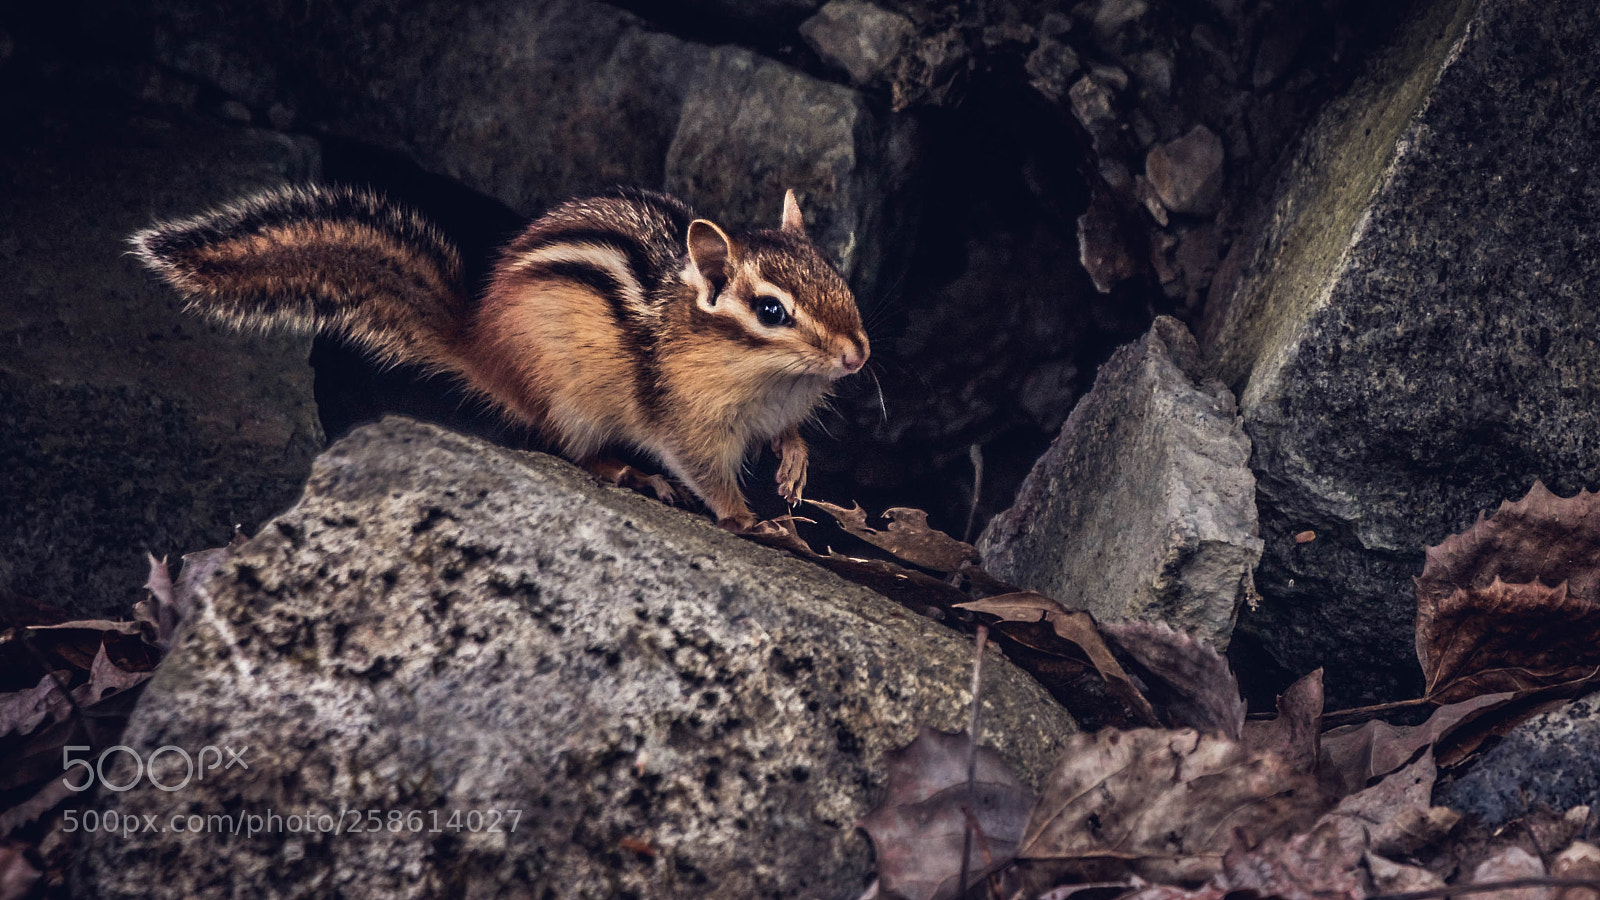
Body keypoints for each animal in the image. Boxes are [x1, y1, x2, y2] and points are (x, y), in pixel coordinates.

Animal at [131, 184, 869, 533]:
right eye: (770, 311)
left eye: (837, 277)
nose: (857, 355)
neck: (769, 380)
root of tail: (477, 338)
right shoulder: (686, 421)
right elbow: (703, 471)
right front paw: (745, 518)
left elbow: (789, 434)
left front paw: (795, 467)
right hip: (571, 402)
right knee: (568, 448)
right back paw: (625, 470)